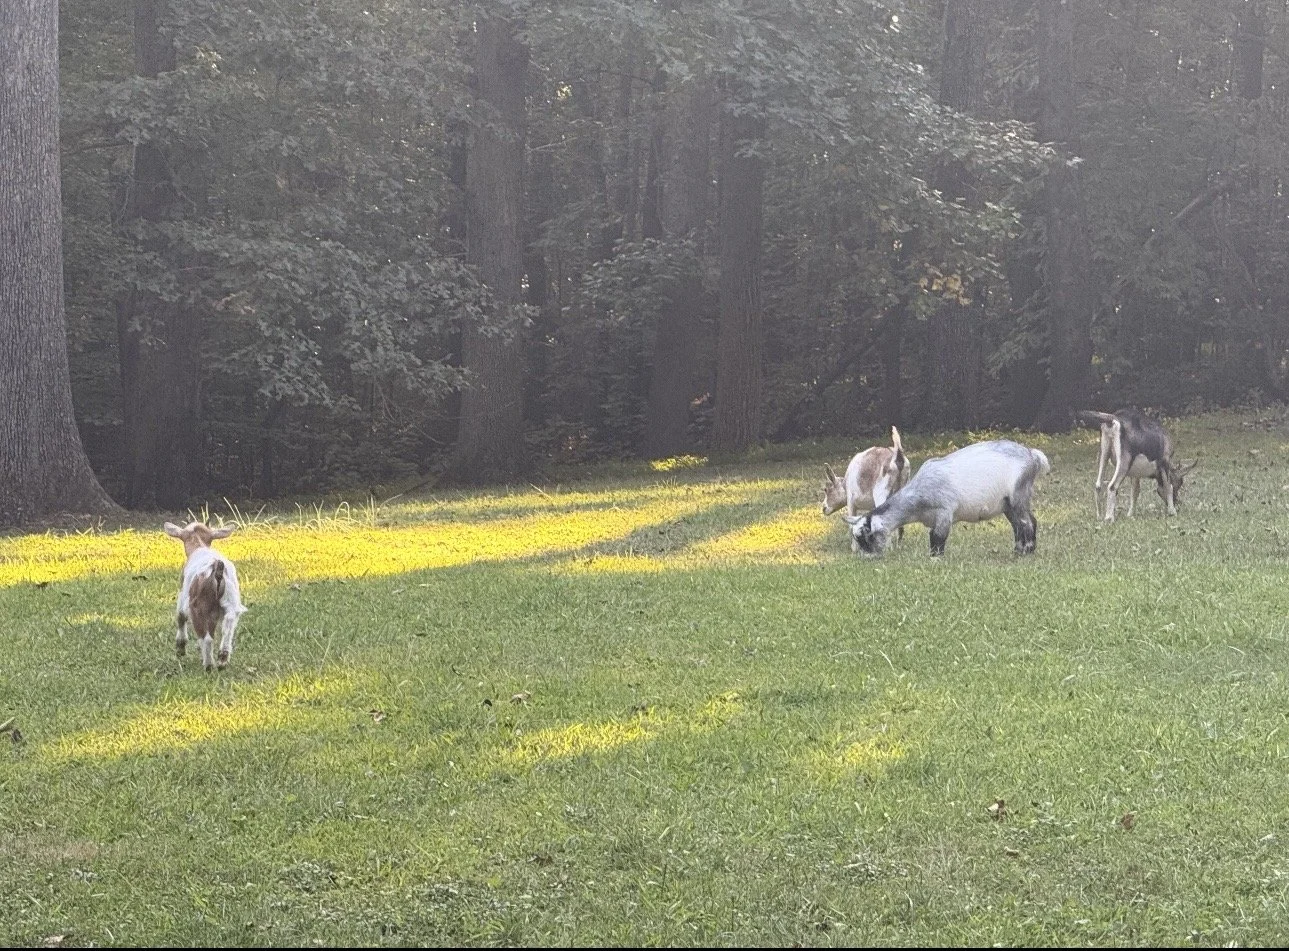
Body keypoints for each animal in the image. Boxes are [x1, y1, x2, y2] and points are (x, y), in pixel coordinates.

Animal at [164, 521, 246, 671]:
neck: (199, 546)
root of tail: (217, 569)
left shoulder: (183, 596)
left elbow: (180, 616)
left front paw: (180, 648)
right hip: (230, 602)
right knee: (228, 625)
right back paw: (222, 658)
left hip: (198, 607)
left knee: (207, 638)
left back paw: (208, 665)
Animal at [843, 439, 1050, 557]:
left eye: (868, 537)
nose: (867, 558)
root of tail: (1032, 455)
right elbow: (932, 536)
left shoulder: (944, 512)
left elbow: (938, 537)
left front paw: (936, 558)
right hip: (1007, 504)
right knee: (1019, 524)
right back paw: (1017, 550)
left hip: (1019, 494)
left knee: (1027, 522)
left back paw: (1027, 551)